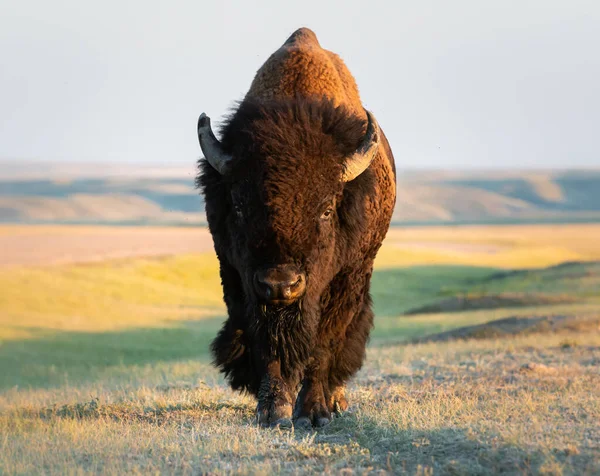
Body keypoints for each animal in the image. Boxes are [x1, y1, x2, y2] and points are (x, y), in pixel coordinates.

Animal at [195, 27, 396, 430]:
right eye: (238, 205)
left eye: (327, 209)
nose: (280, 284)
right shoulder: (239, 278)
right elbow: (265, 343)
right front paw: (272, 410)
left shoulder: (343, 281)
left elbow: (324, 341)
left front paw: (314, 411)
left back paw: (336, 400)